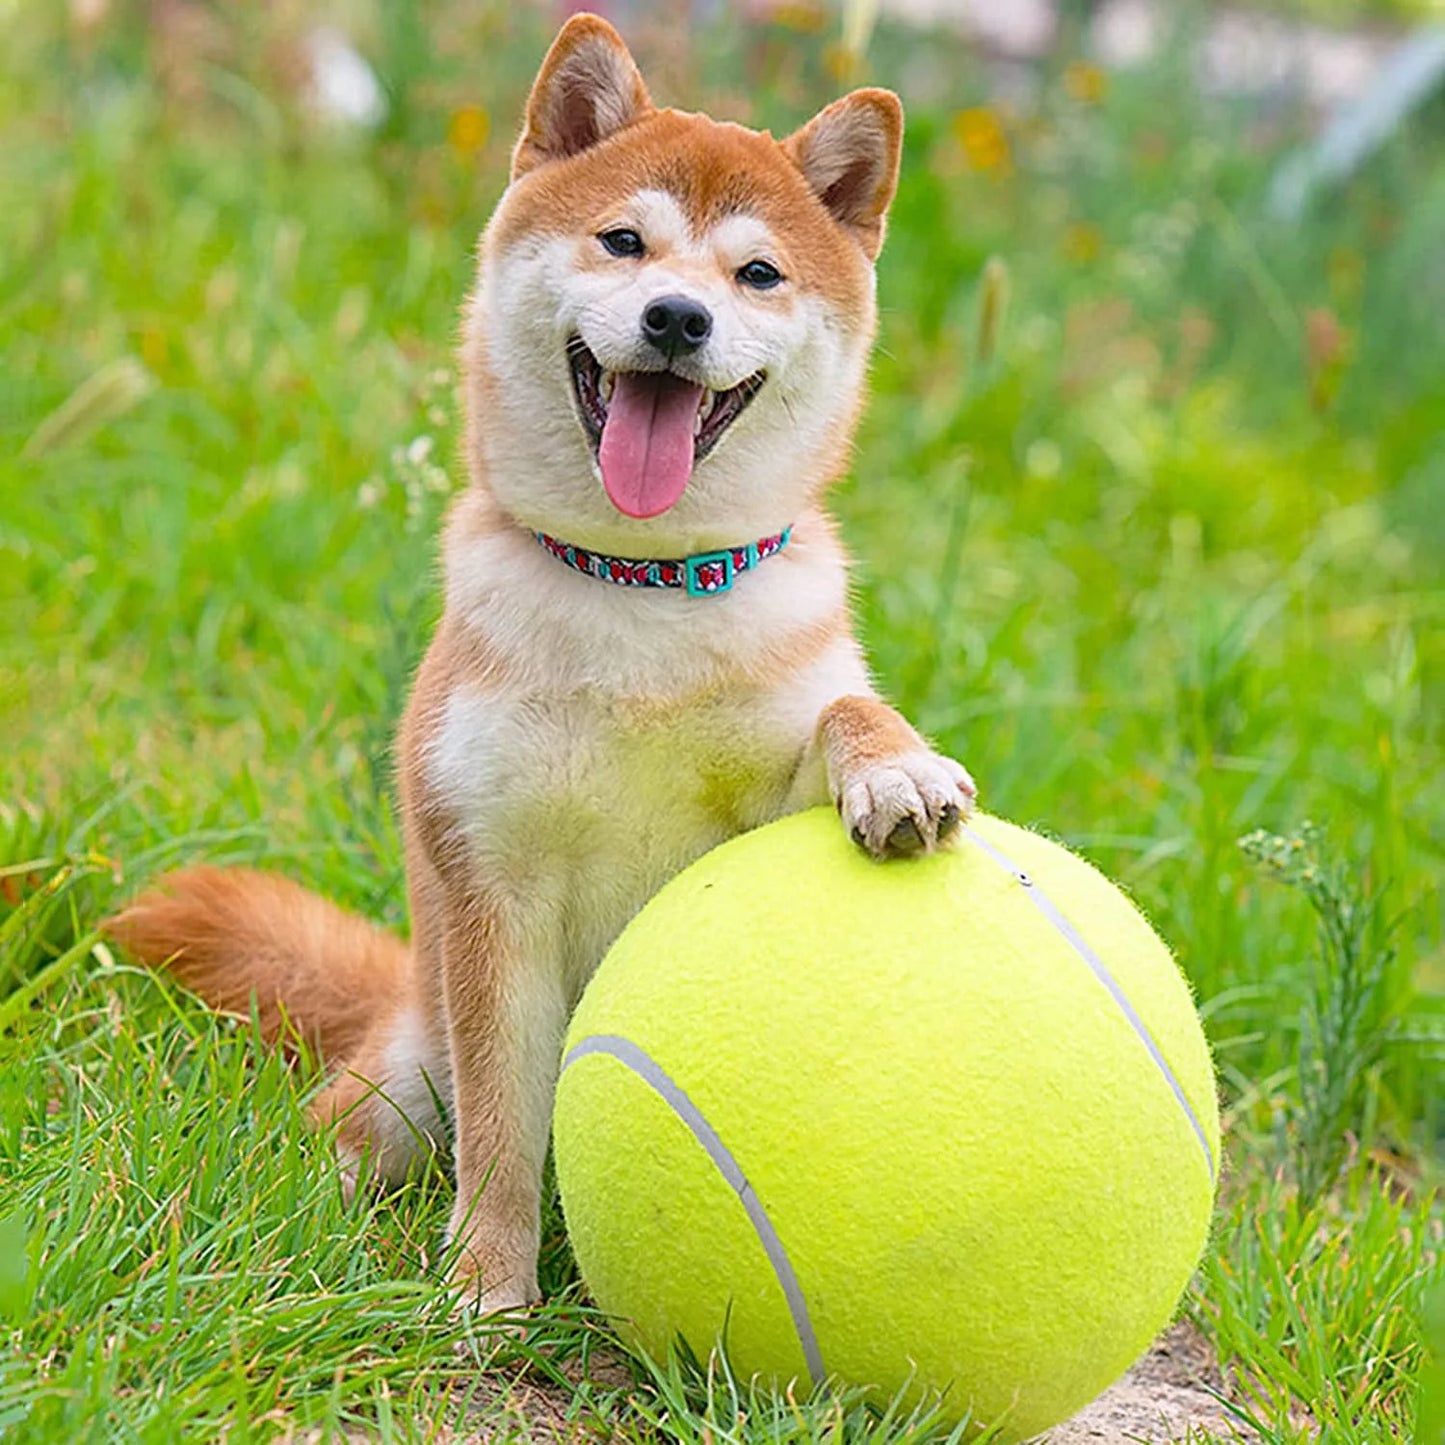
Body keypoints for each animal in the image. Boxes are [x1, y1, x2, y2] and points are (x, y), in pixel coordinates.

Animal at [109, 14, 971, 1323]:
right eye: (623, 241)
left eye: (756, 275)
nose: (676, 318)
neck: (640, 593)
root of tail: (396, 990)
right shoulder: (492, 887)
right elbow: (505, 1131)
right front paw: (483, 1292)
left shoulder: (766, 782)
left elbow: (843, 708)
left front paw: (895, 771)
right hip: (410, 1067)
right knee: (359, 1138)